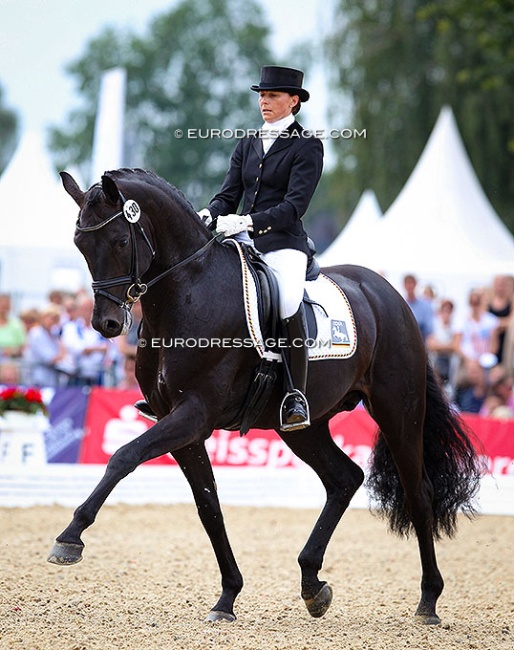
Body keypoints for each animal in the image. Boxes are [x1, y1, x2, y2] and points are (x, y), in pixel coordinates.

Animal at [48, 168, 482, 625]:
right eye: (80, 245)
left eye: (119, 241)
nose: (107, 324)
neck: (188, 291)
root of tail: (390, 295)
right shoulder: (179, 422)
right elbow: (209, 506)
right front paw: (227, 598)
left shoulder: (194, 413)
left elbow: (123, 457)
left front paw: (70, 538)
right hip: (303, 426)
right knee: (345, 478)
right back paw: (312, 584)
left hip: (399, 411)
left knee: (419, 494)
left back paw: (428, 601)